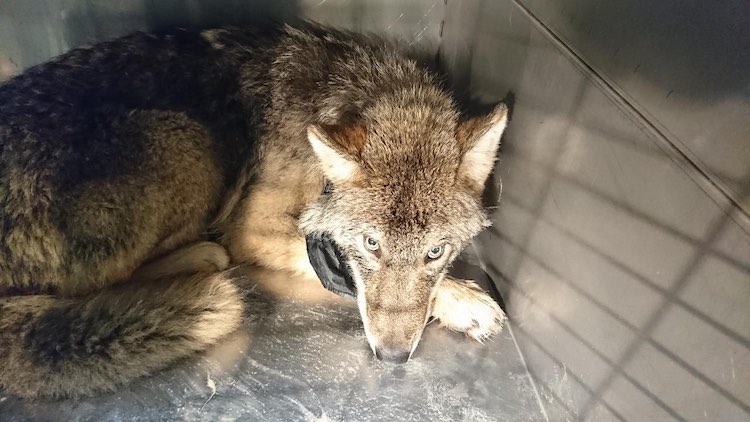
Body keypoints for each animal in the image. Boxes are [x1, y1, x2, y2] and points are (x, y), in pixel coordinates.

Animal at [0, 23, 508, 399]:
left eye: (436, 252)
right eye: (370, 244)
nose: (392, 357)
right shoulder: (252, 229)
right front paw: (463, 300)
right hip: (187, 138)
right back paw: (204, 256)